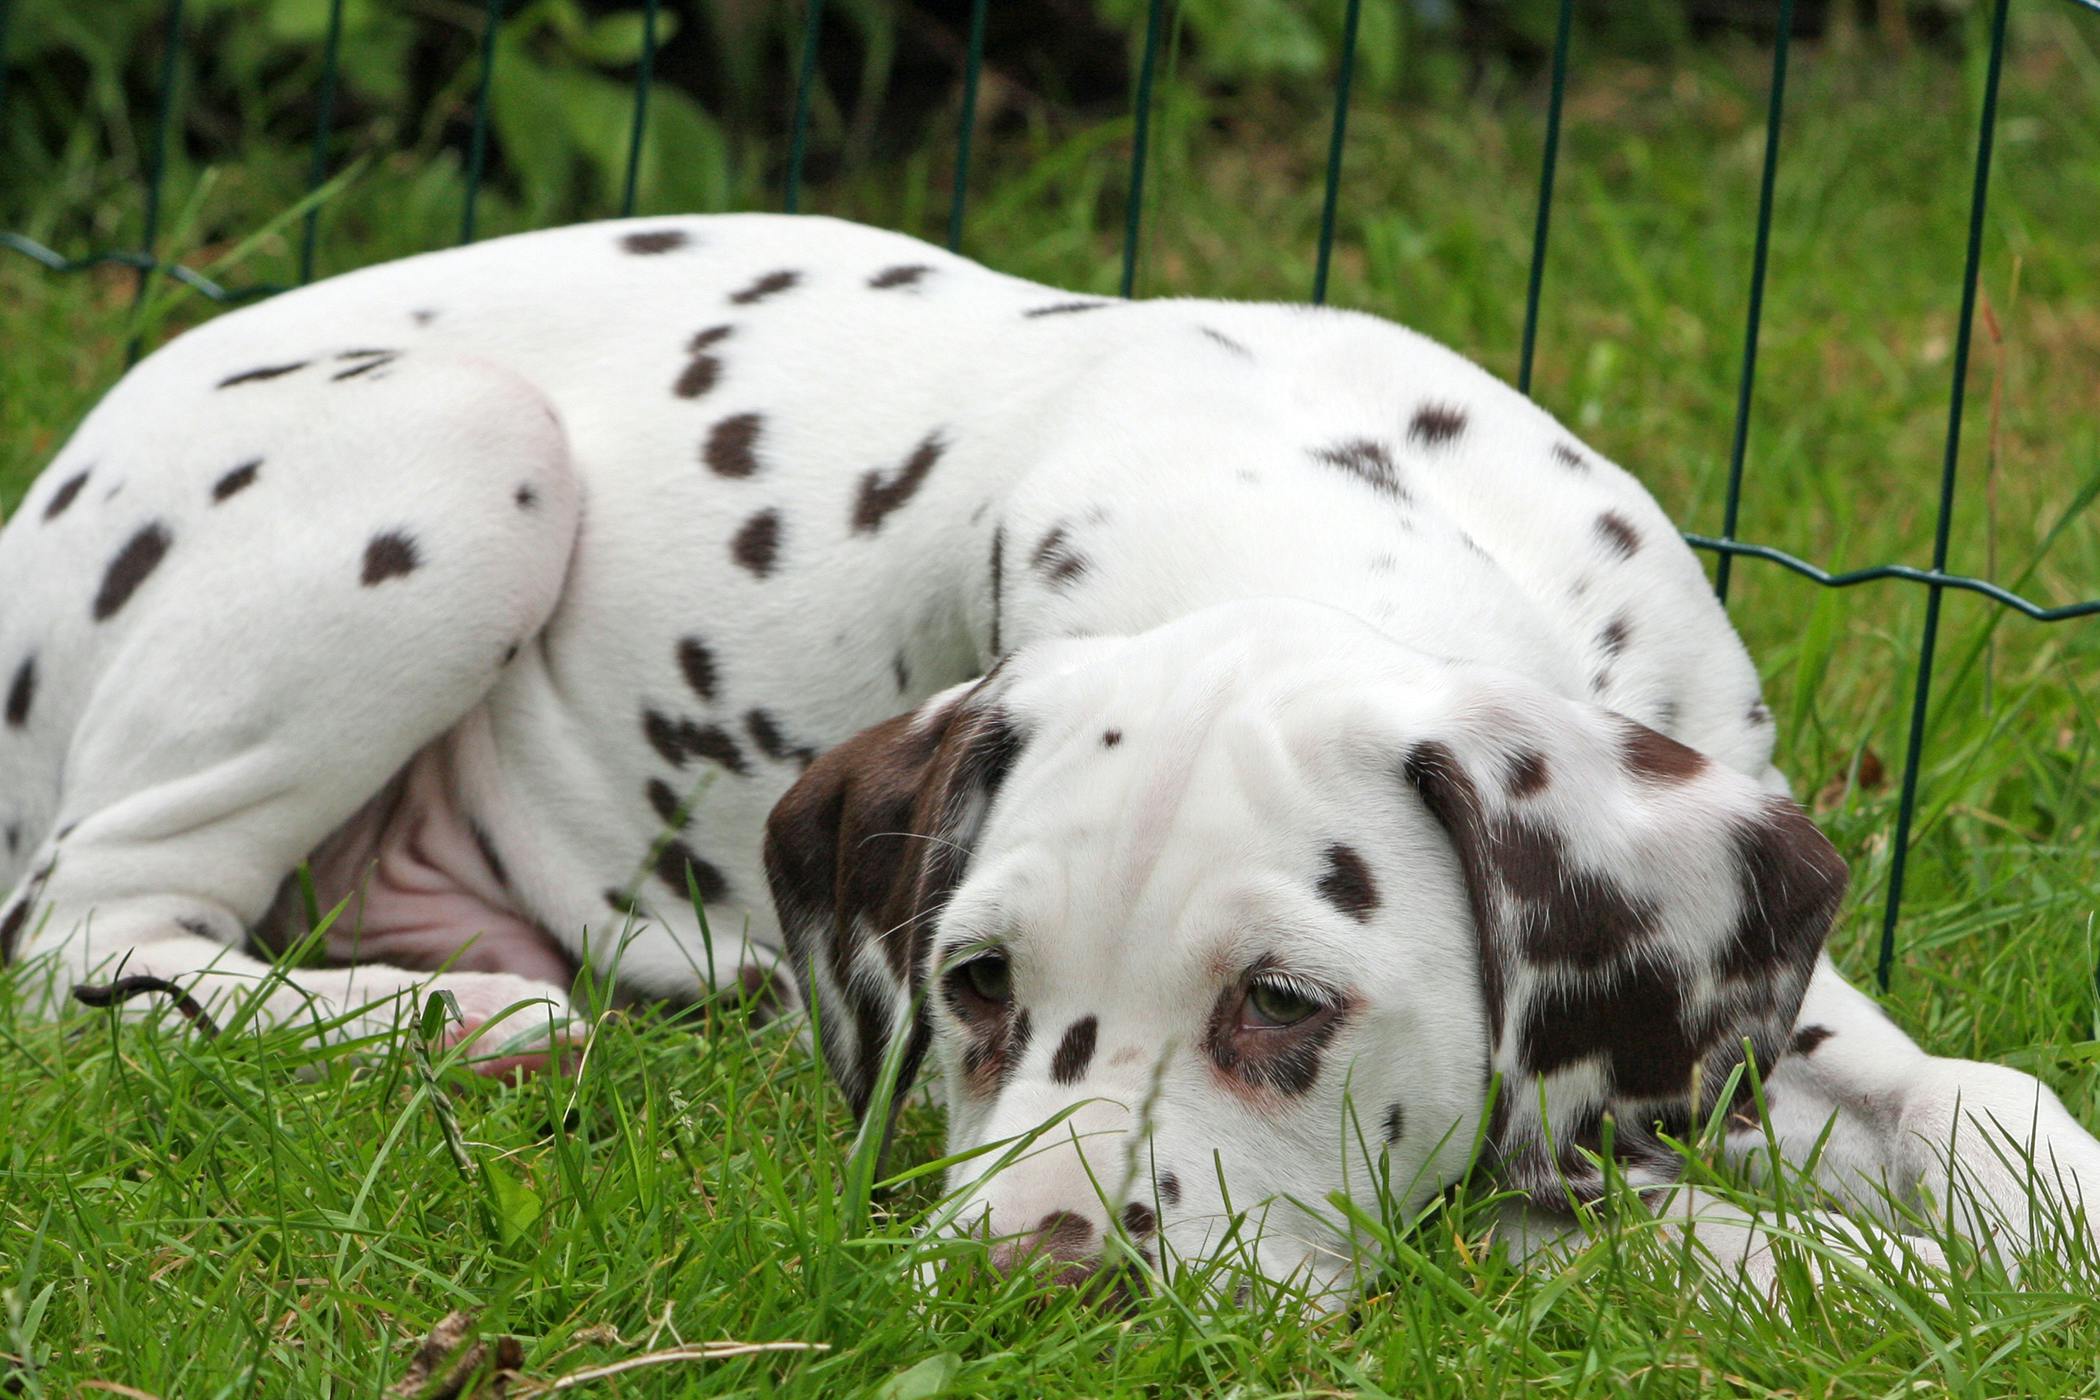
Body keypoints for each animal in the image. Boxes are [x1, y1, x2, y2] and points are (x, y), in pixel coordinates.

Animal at [4, 210, 2100, 1301]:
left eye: (1283, 1002)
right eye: (975, 986)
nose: (1037, 1277)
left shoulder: (1759, 992)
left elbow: (1980, 1105)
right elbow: (1682, 1228)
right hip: (458, 443)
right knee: (81, 941)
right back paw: (450, 1025)